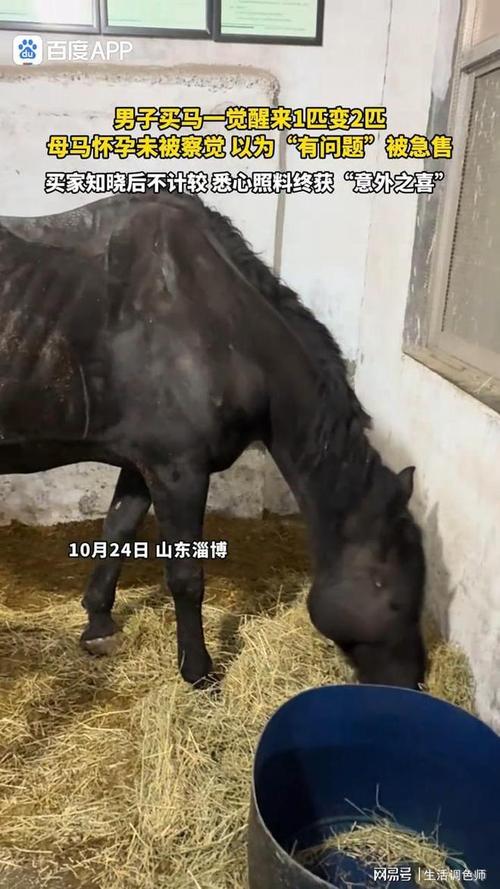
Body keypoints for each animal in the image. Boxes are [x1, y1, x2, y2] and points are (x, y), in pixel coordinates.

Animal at [0, 191, 426, 689]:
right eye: (395, 598)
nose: (412, 681)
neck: (221, 327)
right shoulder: (178, 470)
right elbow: (186, 575)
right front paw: (199, 671)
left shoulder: (143, 464)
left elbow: (118, 530)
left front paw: (99, 624)